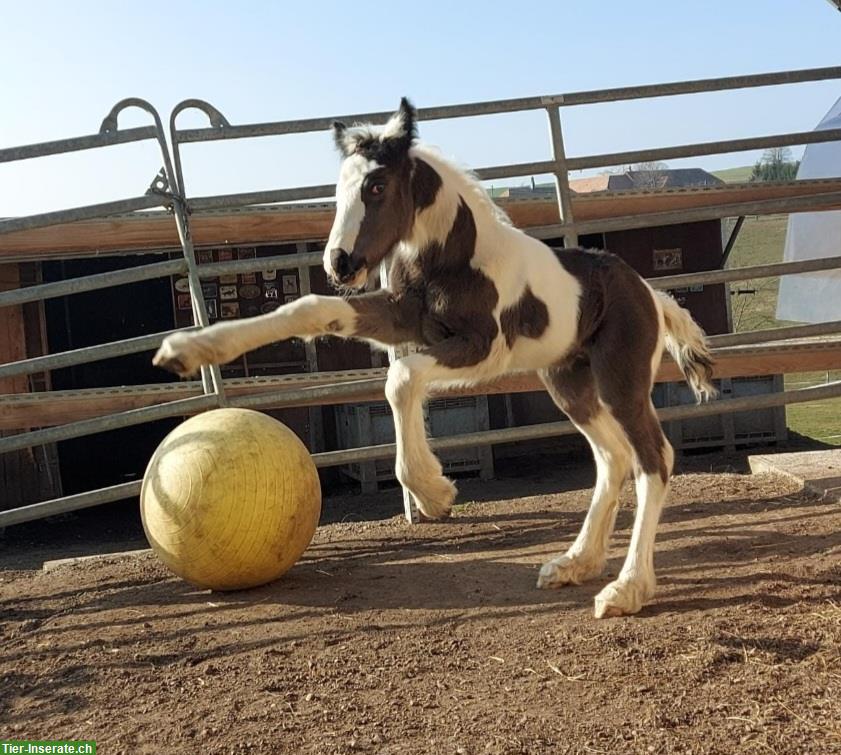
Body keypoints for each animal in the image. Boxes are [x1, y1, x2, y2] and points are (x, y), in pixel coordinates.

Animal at [153, 99, 716, 620]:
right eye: (339, 187)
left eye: (377, 187)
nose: (340, 262)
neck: (455, 257)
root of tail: (650, 294)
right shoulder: (403, 316)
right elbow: (315, 309)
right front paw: (187, 349)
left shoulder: (483, 346)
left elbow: (402, 377)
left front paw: (433, 493)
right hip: (567, 381)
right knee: (613, 458)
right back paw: (575, 563)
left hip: (620, 379)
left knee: (653, 457)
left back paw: (627, 588)